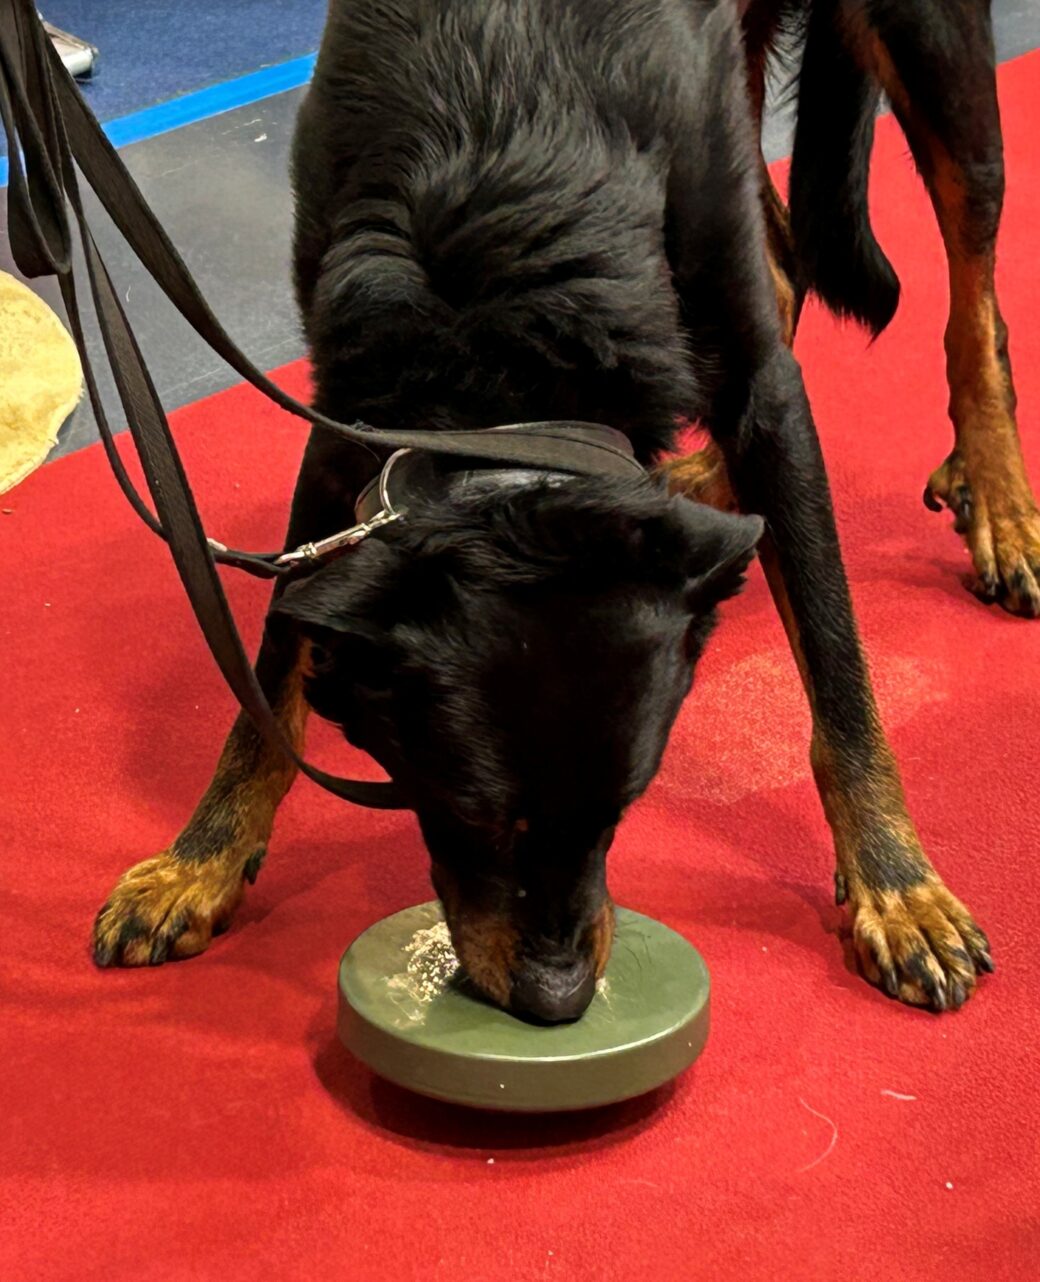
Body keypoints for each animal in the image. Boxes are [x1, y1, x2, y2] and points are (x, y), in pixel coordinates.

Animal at [93, 0, 1023, 1019]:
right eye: (463, 810)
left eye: (624, 807)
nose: (557, 1003)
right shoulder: (351, 420)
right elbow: (273, 661)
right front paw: (202, 858)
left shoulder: (763, 390)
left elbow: (836, 656)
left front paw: (898, 883)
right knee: (786, 255)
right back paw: (712, 479)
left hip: (931, 63)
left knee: (971, 279)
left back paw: (1001, 498)